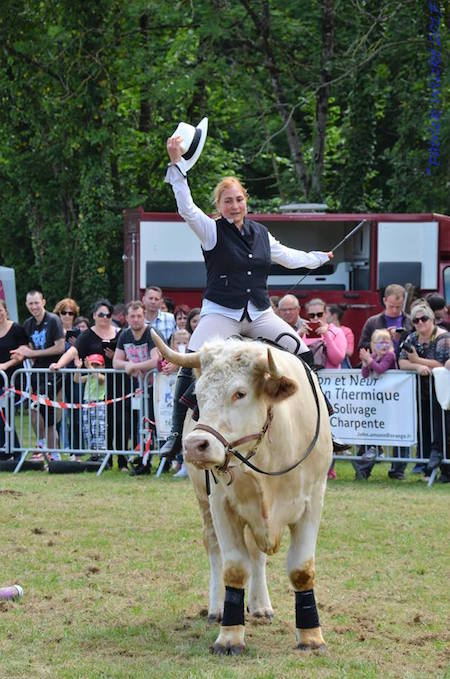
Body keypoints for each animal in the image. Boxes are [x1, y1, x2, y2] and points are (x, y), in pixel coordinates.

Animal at [153, 332, 332, 656]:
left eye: (240, 393)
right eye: (198, 395)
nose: (195, 445)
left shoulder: (312, 502)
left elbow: (301, 570)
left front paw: (311, 637)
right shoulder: (222, 505)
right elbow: (235, 567)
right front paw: (230, 637)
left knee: (257, 556)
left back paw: (260, 606)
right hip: (204, 502)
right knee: (214, 548)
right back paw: (217, 609)